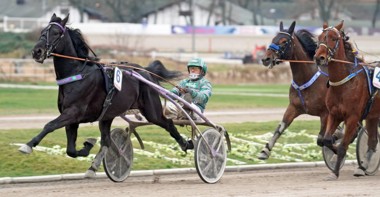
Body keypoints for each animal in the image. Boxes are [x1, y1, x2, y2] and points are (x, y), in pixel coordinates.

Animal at [19, 14, 191, 175]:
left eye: (55, 33)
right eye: (42, 32)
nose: (37, 51)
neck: (77, 73)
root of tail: (144, 71)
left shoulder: (73, 112)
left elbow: (50, 125)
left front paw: (28, 145)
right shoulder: (71, 118)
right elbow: (71, 150)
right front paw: (88, 145)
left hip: (151, 110)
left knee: (168, 123)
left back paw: (186, 144)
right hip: (107, 115)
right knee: (107, 141)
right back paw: (94, 166)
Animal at [258, 20, 330, 159]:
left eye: (284, 41)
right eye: (273, 39)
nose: (265, 59)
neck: (307, 78)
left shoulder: (326, 113)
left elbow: (322, 139)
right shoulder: (294, 107)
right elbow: (281, 127)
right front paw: (265, 150)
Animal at [314, 20, 378, 180]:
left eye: (334, 38)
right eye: (319, 37)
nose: (319, 57)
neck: (344, 82)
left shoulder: (352, 117)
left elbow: (344, 145)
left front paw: (334, 172)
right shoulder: (334, 114)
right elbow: (327, 139)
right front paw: (335, 152)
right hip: (373, 116)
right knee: (373, 141)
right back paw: (362, 167)